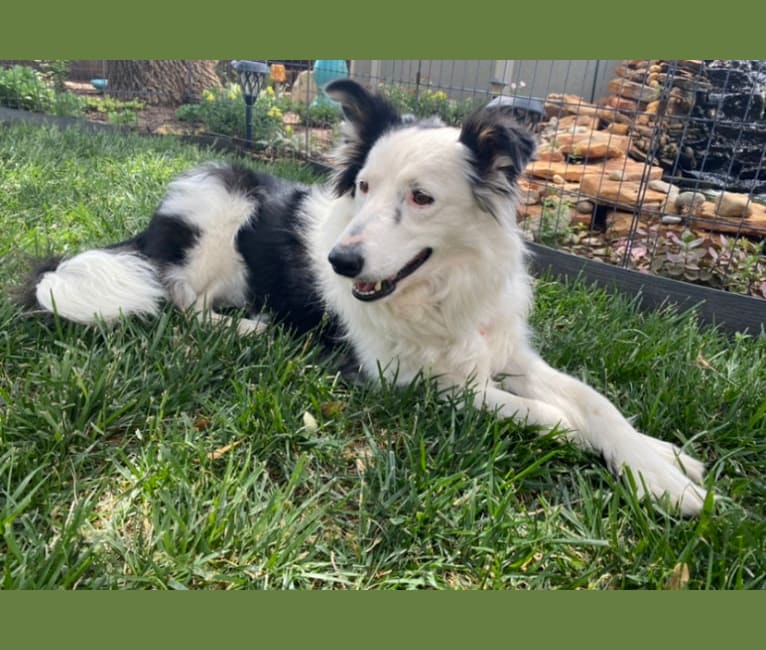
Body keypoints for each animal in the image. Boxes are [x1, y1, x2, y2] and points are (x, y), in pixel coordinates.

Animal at [24, 81, 712, 512]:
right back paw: (244, 326)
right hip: (219, 212)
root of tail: (154, 222)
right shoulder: (401, 378)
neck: (437, 290)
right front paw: (580, 436)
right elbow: (546, 413)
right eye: (362, 186)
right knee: (182, 303)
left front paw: (659, 466)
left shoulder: (508, 352)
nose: (339, 261)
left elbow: (596, 403)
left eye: (421, 197)